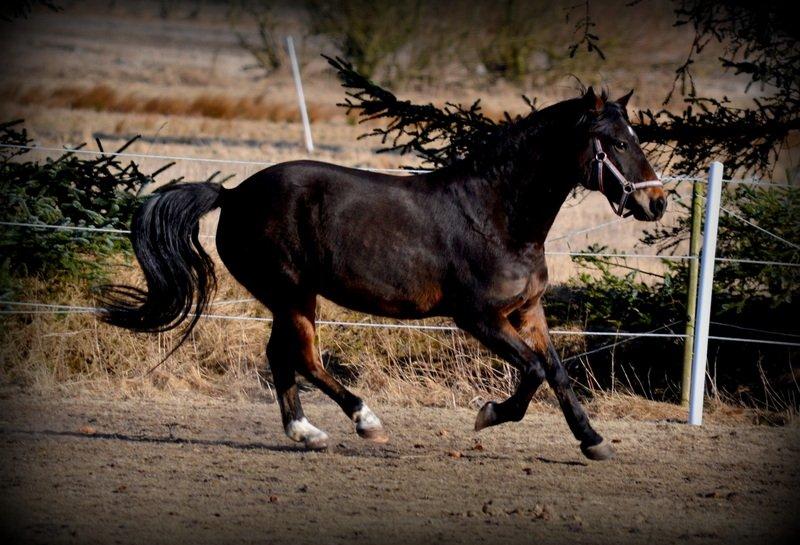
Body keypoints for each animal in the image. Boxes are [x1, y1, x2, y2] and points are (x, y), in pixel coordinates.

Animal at [100, 88, 664, 460]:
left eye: (633, 137)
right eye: (615, 143)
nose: (655, 202)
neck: (497, 214)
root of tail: (234, 194)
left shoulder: (527, 311)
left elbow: (558, 372)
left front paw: (592, 441)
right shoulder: (479, 318)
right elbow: (533, 372)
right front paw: (487, 414)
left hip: (290, 297)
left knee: (282, 357)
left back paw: (307, 432)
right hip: (291, 292)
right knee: (303, 358)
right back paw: (364, 422)